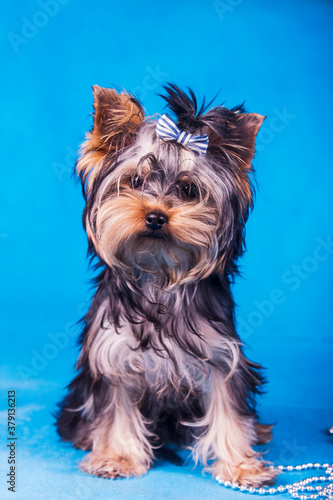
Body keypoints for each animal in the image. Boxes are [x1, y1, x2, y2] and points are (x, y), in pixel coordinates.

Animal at [57, 84, 278, 486]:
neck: (158, 275)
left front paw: (241, 465)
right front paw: (117, 457)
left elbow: (228, 409)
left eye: (188, 189)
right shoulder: (112, 355)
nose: (156, 216)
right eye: (136, 181)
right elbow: (116, 408)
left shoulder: (221, 355)